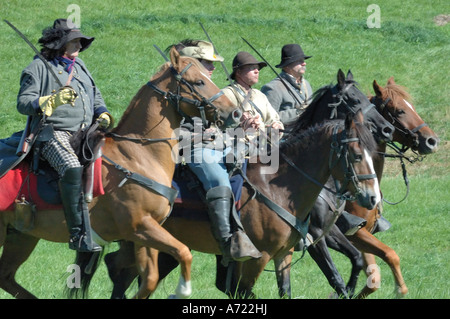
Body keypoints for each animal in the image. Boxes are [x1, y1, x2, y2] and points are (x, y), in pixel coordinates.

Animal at [0, 47, 239, 300]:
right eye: (200, 81)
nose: (235, 113)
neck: (139, 154)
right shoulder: (140, 227)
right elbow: (184, 252)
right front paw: (182, 290)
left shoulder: (146, 233)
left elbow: (150, 278)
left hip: (22, 235)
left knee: (5, 275)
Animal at [103, 108, 384, 300]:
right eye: (356, 155)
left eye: (372, 154)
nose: (373, 198)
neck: (277, 188)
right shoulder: (260, 258)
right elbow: (243, 291)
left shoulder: (284, 254)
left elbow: (286, 290)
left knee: (121, 270)